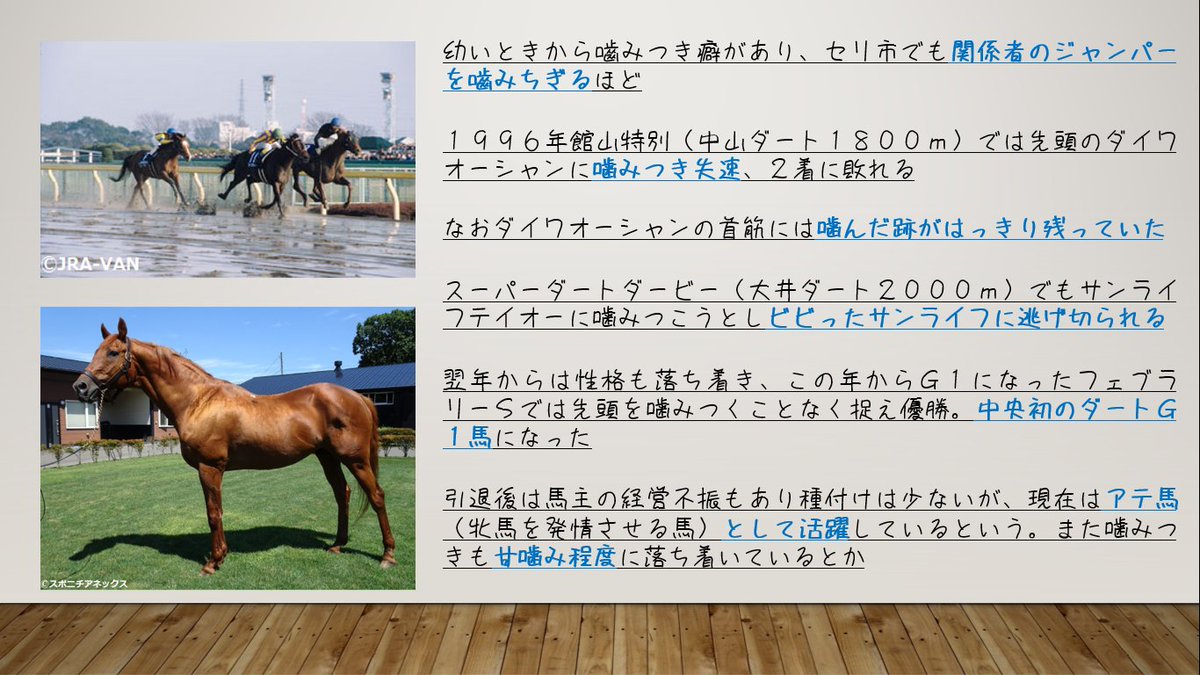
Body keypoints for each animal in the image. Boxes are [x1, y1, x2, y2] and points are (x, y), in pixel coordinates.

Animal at [72, 318, 397, 576]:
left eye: (113, 352)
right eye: (96, 351)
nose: (81, 387)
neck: (198, 401)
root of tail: (358, 397)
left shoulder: (210, 467)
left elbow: (213, 513)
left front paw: (213, 562)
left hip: (355, 459)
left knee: (377, 496)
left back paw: (387, 555)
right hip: (327, 457)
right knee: (342, 494)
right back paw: (338, 545)